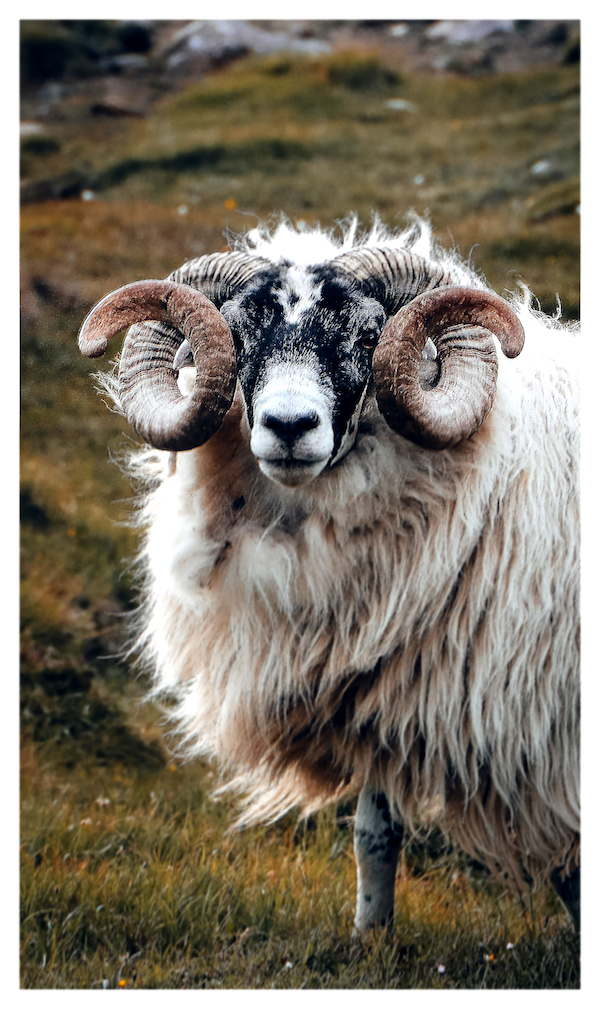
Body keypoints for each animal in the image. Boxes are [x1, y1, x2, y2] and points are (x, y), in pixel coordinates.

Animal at [77, 216, 580, 932]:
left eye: (368, 337)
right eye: (239, 335)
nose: (289, 425)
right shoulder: (383, 698)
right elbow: (375, 833)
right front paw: (372, 936)